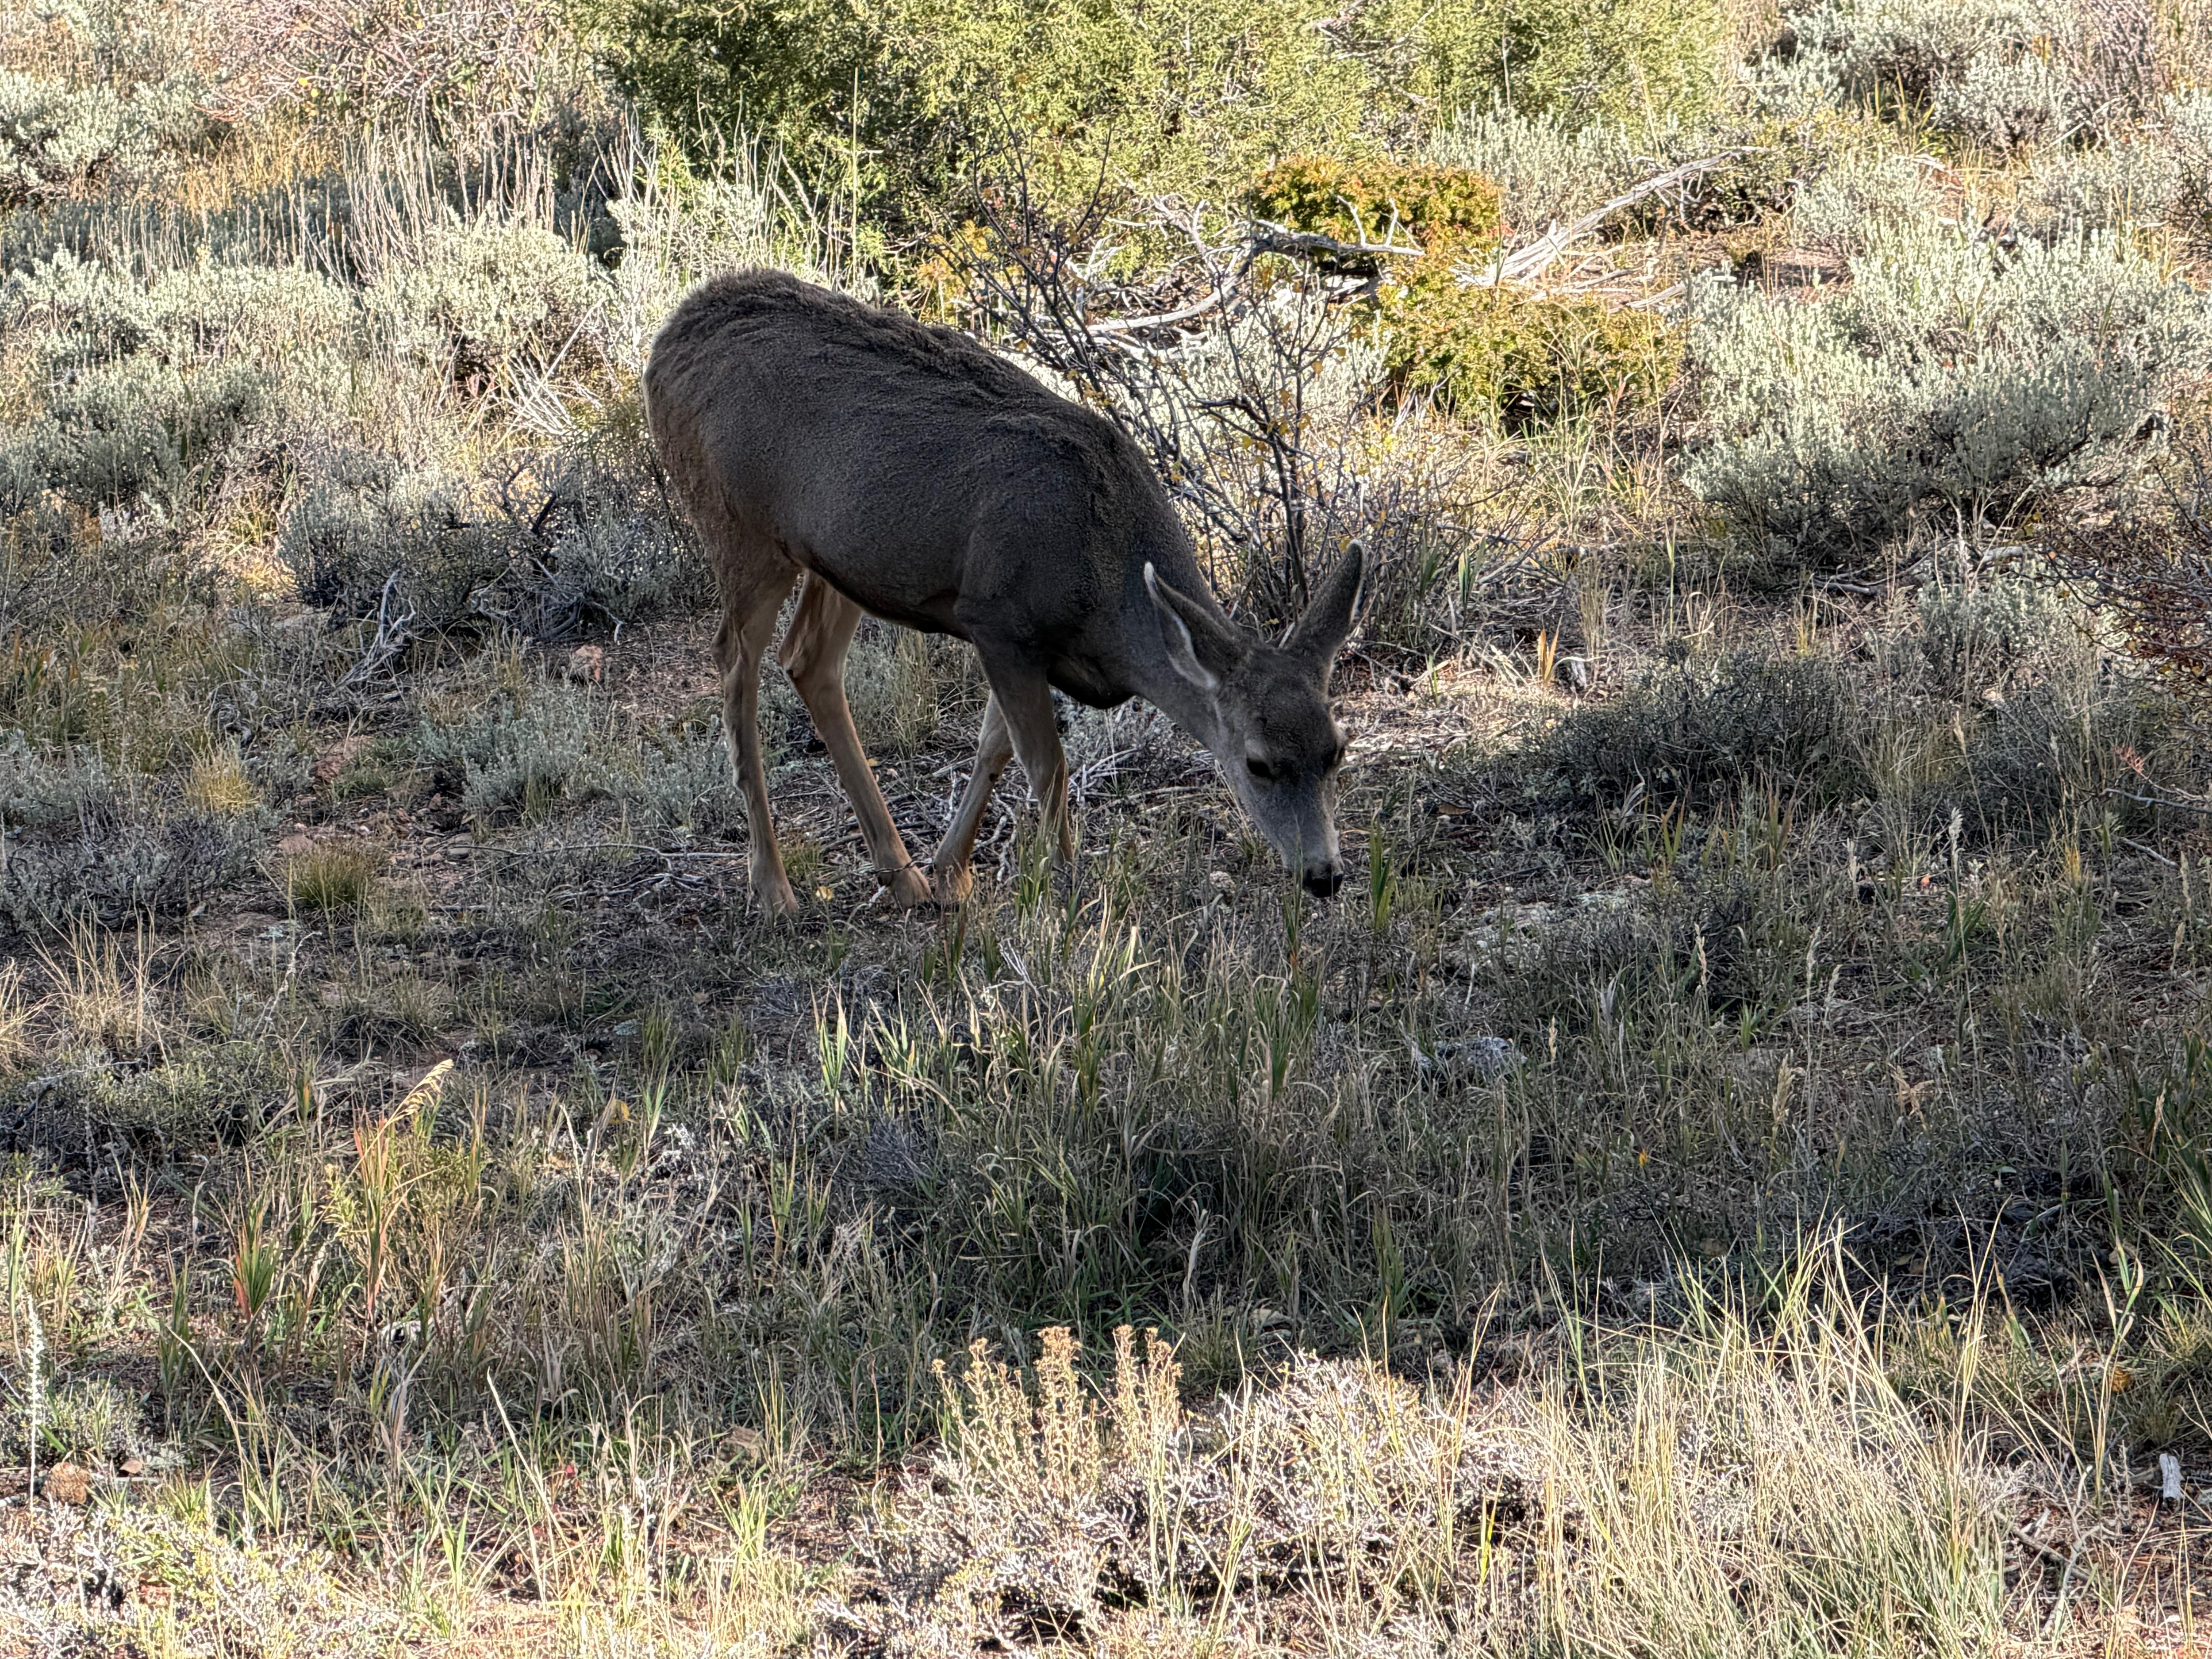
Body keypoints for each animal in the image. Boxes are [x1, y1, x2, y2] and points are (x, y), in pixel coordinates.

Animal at [643, 269, 1364, 916]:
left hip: (837, 559)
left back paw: (899, 875)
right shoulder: (997, 616)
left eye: (1336, 751)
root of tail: (665, 346)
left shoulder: (1017, 639)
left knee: (807, 660)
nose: (1324, 875)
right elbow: (1046, 764)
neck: (1106, 583)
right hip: (740, 527)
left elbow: (993, 745)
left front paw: (949, 873)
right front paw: (1071, 895)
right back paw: (773, 889)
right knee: (734, 663)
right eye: (1258, 764)